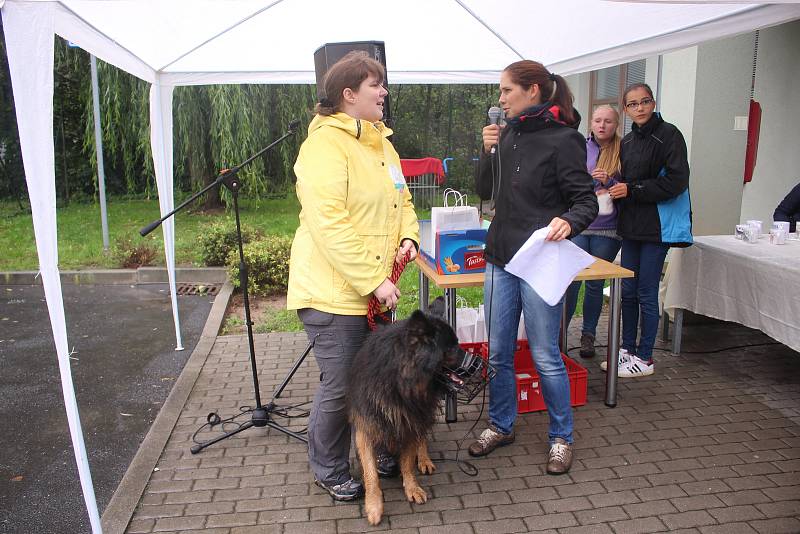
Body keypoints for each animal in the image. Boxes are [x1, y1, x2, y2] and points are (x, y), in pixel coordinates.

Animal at [348, 312, 462, 524]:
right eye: (451, 347)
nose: (479, 362)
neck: (399, 383)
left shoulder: (411, 421)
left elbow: (408, 462)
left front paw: (412, 488)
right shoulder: (366, 427)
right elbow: (371, 473)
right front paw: (374, 506)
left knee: (422, 437)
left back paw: (424, 459)